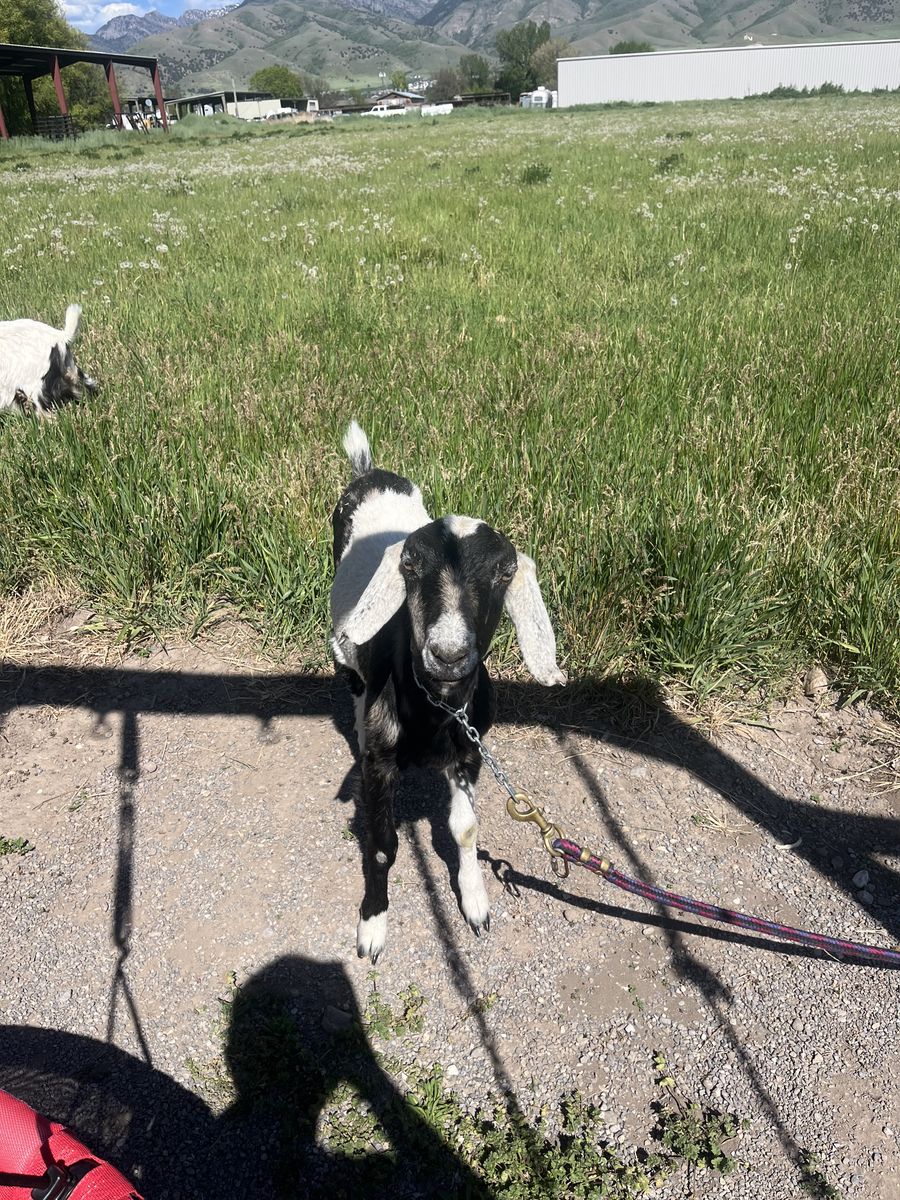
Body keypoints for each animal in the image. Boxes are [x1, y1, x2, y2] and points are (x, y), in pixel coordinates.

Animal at [330, 421, 565, 963]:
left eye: (505, 571)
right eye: (410, 564)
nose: (449, 653)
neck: (436, 706)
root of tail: (369, 472)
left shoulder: (470, 752)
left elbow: (466, 829)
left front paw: (475, 902)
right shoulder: (382, 764)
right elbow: (381, 845)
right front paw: (373, 925)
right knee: (354, 685)